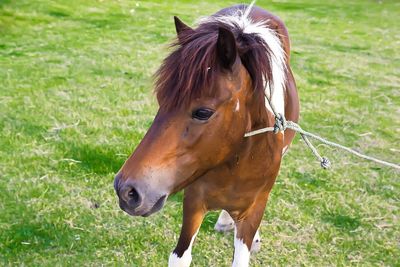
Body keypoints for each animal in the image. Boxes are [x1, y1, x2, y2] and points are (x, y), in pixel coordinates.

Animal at [114, 2, 298, 267]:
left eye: (203, 112)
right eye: (161, 100)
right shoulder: (194, 202)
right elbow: (180, 257)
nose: (126, 190)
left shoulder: (255, 207)